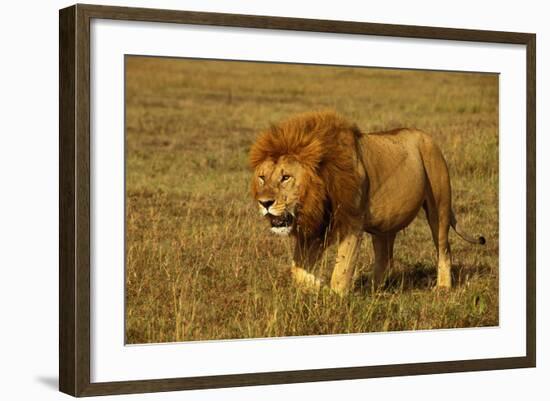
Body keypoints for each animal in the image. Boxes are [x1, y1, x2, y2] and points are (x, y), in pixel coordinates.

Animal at [250, 111, 488, 292]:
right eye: (262, 177)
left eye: (285, 177)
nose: (265, 203)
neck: (317, 195)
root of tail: (428, 137)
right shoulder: (317, 228)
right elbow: (296, 270)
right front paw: (319, 286)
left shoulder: (352, 223)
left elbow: (341, 271)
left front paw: (333, 297)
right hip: (386, 223)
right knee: (384, 257)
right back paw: (373, 289)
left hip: (439, 208)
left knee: (444, 249)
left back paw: (443, 288)